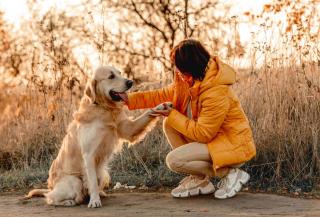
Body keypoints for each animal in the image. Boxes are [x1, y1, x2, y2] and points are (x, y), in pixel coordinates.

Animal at [26, 66, 159, 209]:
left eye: (120, 73)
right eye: (111, 76)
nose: (130, 82)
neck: (103, 108)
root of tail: (51, 187)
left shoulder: (128, 128)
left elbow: (146, 115)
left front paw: (161, 106)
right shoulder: (89, 154)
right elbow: (92, 182)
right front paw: (94, 201)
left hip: (103, 173)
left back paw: (100, 193)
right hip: (74, 181)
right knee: (50, 197)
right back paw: (68, 201)